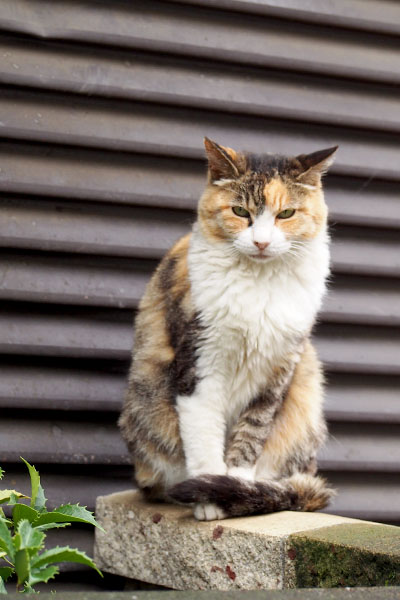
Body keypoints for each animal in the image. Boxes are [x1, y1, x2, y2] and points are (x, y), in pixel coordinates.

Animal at [119, 137, 338, 520]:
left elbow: (251, 434)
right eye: (239, 212)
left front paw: (233, 489)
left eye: (286, 214)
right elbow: (204, 437)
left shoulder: (277, 372)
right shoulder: (199, 363)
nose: (262, 242)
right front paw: (209, 498)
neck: (259, 283)